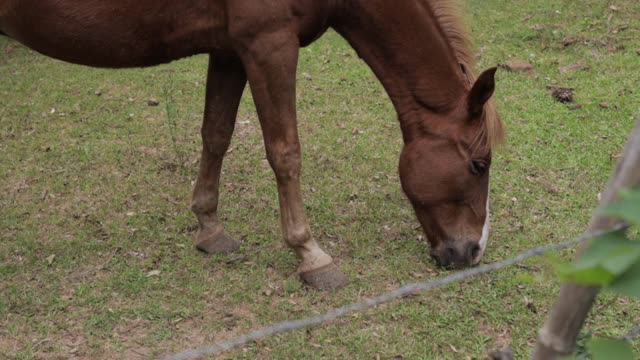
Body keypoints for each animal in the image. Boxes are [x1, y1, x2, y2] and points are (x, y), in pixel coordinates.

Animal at [1, 0, 504, 288]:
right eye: (479, 164)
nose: (472, 251)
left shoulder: (228, 50)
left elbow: (216, 135)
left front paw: (209, 229)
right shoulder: (269, 44)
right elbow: (285, 153)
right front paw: (310, 256)